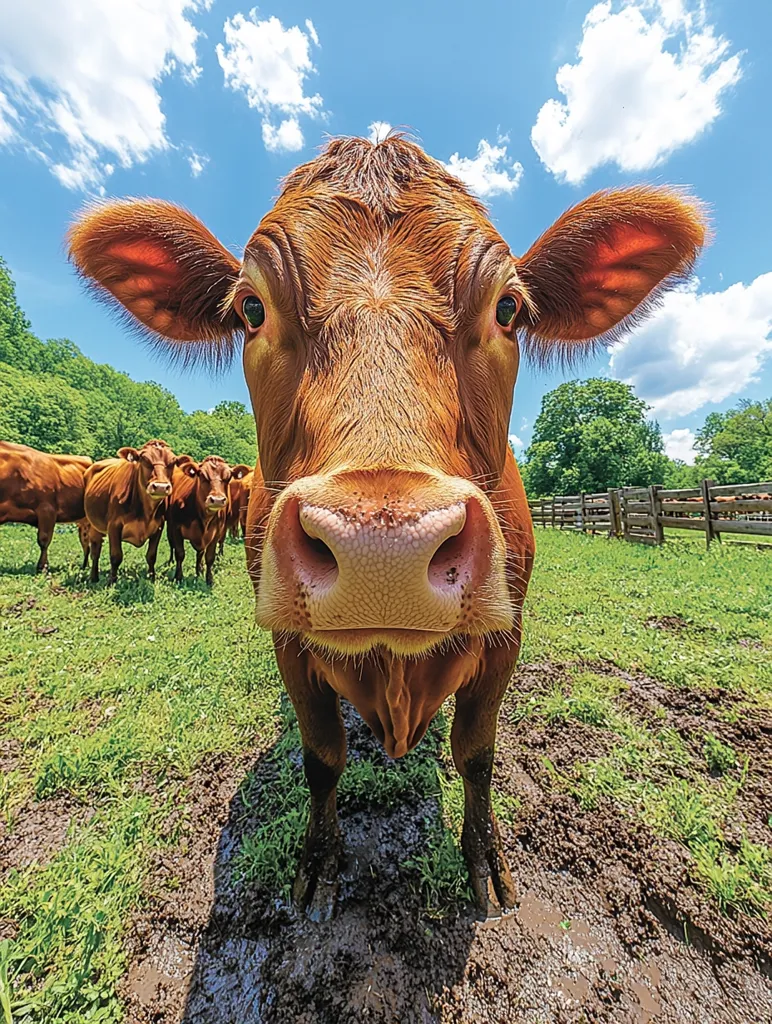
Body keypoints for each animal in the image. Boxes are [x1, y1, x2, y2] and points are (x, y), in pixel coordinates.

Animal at [0, 441, 93, 571]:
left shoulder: (47, 509)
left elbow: (43, 539)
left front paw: (42, 567)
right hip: (83, 521)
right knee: (85, 541)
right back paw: (84, 566)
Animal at [83, 440, 183, 584]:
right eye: (144, 459)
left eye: (173, 462)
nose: (160, 487)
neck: (146, 512)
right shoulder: (114, 525)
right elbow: (116, 556)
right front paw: (112, 582)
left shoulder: (158, 526)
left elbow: (151, 555)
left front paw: (151, 578)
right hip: (93, 524)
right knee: (95, 550)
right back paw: (93, 577)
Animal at [168, 455, 232, 585]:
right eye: (202, 475)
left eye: (228, 477)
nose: (217, 500)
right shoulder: (176, 528)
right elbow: (179, 553)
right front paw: (178, 577)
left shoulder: (216, 533)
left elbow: (210, 557)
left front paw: (209, 579)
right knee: (171, 545)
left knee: (200, 553)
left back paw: (199, 570)